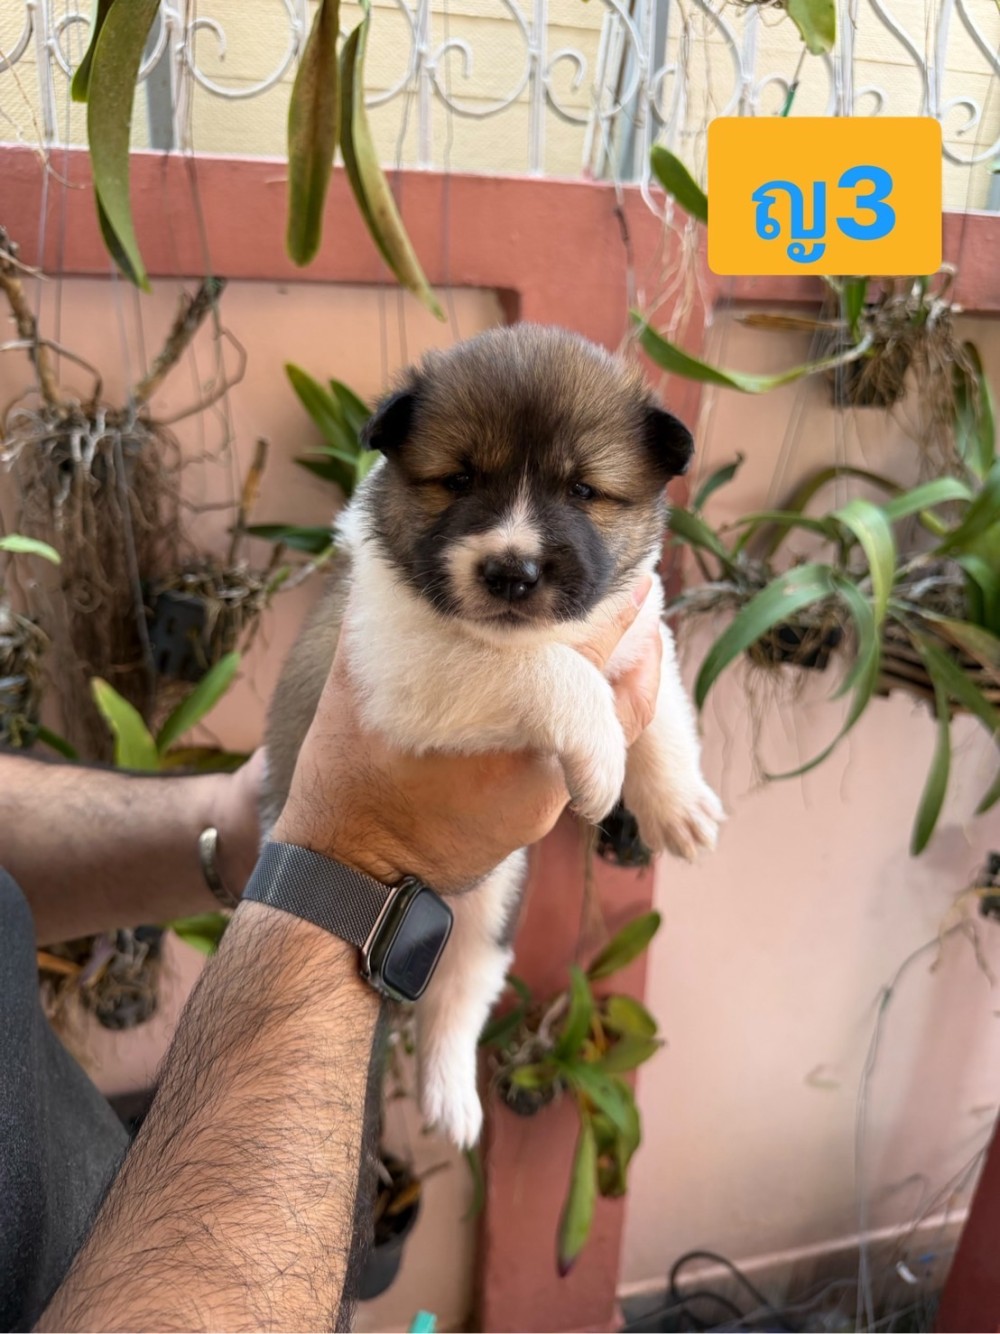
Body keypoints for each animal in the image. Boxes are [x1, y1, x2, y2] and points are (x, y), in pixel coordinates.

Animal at [262, 324, 723, 1147]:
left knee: (461, 991)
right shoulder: (412, 671)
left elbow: (663, 711)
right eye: (458, 479)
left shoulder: (641, 626)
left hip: (493, 905)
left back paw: (452, 1100)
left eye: (583, 490)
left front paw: (680, 805)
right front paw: (601, 756)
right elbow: (539, 669)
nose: (512, 571)